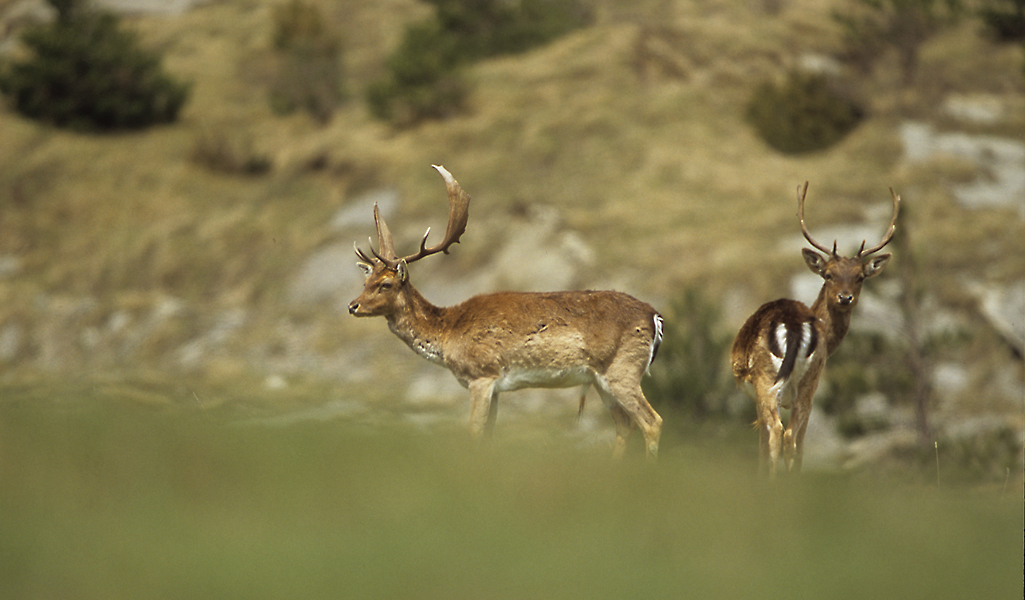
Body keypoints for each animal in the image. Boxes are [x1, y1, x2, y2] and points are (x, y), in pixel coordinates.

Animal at [348, 164, 664, 459]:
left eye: (386, 284)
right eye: (365, 282)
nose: (352, 305)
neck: (448, 332)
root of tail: (655, 317)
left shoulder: (482, 375)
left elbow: (474, 433)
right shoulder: (496, 388)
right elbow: (488, 436)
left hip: (623, 367)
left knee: (651, 421)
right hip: (600, 378)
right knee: (625, 424)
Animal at [729, 182, 897, 477]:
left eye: (859, 277)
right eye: (829, 274)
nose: (845, 297)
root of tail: (794, 327)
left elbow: (764, 445)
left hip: (767, 380)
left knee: (778, 432)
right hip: (810, 381)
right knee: (792, 437)